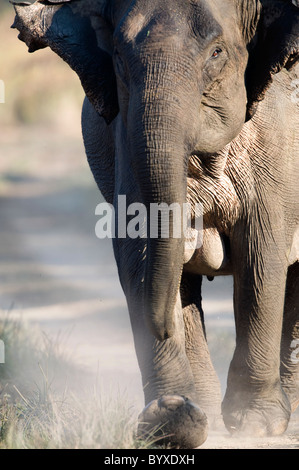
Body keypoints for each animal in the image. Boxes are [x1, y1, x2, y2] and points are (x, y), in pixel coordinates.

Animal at [12, 0, 299, 448]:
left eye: (217, 53)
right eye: (116, 56)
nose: (163, 329)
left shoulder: (278, 137)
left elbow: (262, 254)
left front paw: (255, 424)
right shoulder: (123, 135)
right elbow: (137, 251)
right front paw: (170, 420)